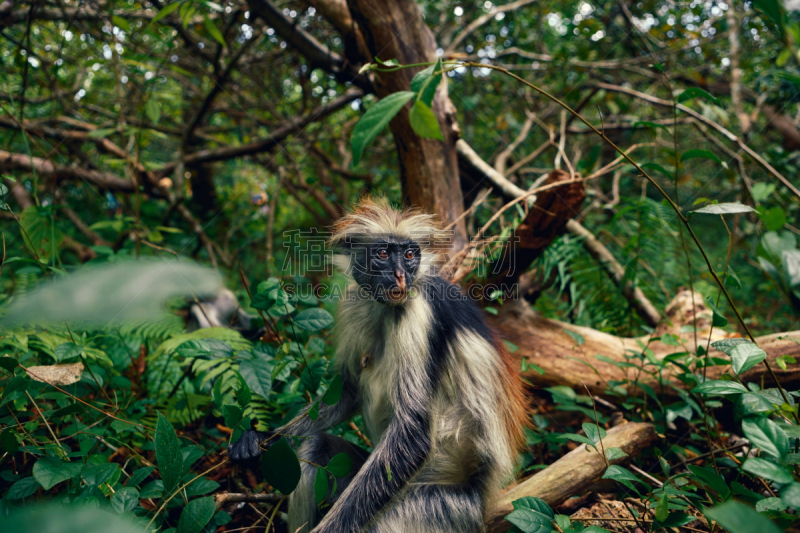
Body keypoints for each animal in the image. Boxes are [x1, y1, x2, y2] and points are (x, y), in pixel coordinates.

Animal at [228, 198, 528, 532]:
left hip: (441, 509)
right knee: (315, 447)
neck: (386, 307)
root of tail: (481, 501)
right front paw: (260, 439)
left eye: (409, 255)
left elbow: (413, 436)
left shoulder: (418, 309)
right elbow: (346, 390)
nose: (399, 276)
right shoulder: (354, 301)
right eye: (383, 254)